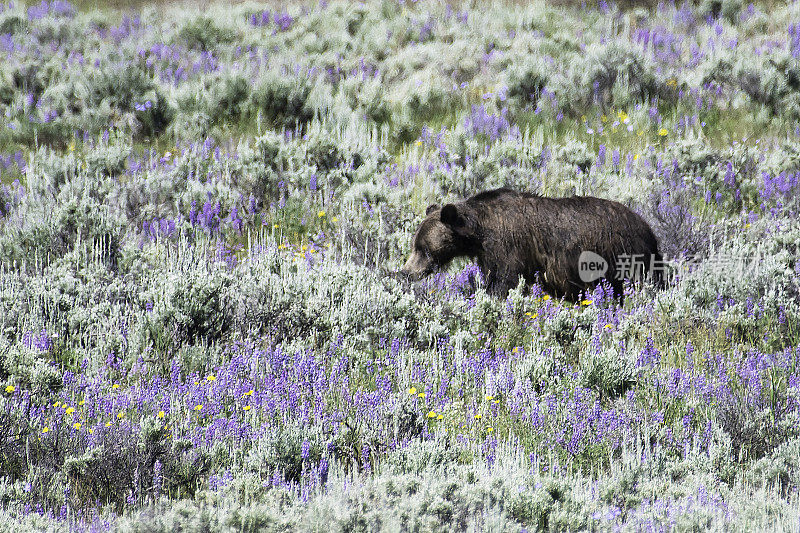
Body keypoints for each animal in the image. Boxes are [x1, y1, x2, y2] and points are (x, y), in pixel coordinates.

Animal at [400, 187, 664, 300]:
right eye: (415, 245)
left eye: (422, 248)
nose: (405, 272)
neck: (479, 232)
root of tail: (647, 227)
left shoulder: (508, 247)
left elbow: (504, 282)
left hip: (622, 253)